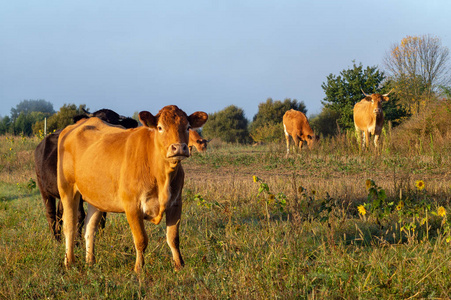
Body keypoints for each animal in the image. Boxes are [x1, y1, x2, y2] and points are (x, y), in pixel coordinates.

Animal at [35, 108, 139, 241]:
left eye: (114, 121)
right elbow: (80, 215)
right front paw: (78, 241)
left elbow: (102, 216)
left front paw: (100, 237)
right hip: (44, 189)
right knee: (51, 214)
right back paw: (56, 239)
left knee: (60, 213)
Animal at [57, 105, 209, 272]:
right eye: (160, 127)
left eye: (188, 127)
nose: (179, 148)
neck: (161, 175)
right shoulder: (132, 206)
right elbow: (141, 239)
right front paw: (139, 268)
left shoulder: (176, 203)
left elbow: (173, 238)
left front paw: (179, 265)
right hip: (67, 189)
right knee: (69, 225)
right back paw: (69, 262)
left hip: (95, 196)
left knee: (90, 228)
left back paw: (90, 261)